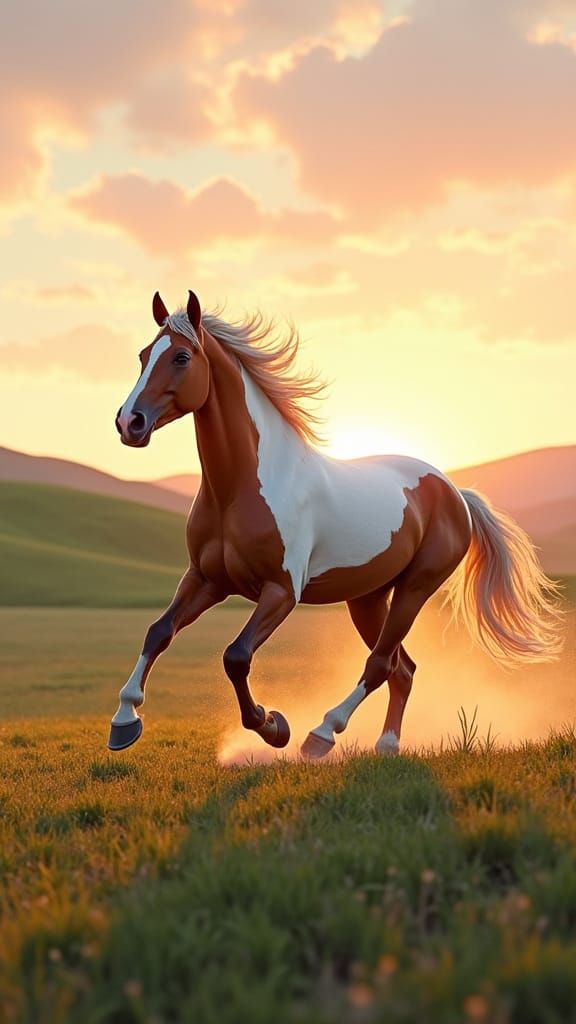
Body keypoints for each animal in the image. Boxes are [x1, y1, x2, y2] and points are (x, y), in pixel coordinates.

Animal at [108, 290, 563, 756]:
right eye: (143, 355)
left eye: (181, 357)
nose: (129, 422)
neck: (239, 489)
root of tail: (456, 493)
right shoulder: (206, 579)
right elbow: (159, 632)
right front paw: (124, 722)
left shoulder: (281, 591)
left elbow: (236, 657)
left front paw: (273, 726)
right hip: (367, 599)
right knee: (402, 669)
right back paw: (386, 746)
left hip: (416, 588)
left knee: (380, 664)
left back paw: (322, 733)